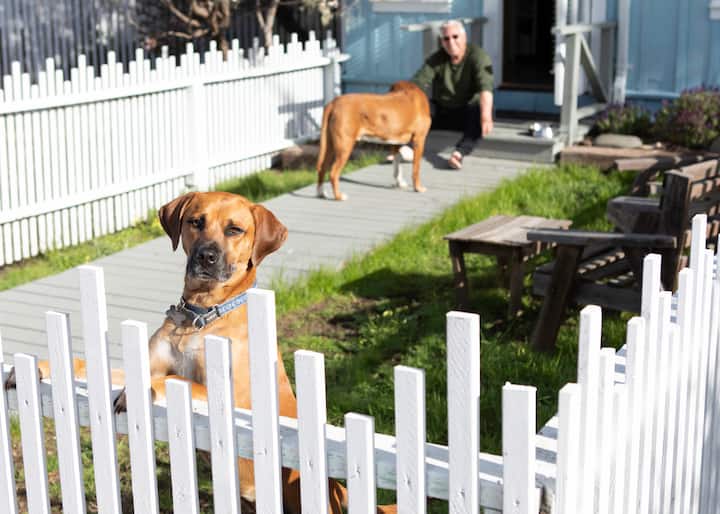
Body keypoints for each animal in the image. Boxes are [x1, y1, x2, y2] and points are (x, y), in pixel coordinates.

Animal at [5, 192, 397, 513]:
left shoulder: (228, 396)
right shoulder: (147, 361)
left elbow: (176, 378)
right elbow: (92, 364)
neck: (199, 315)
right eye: (196, 222)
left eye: (235, 229)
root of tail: (337, 489)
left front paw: (141, 390)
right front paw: (41, 366)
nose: (206, 256)